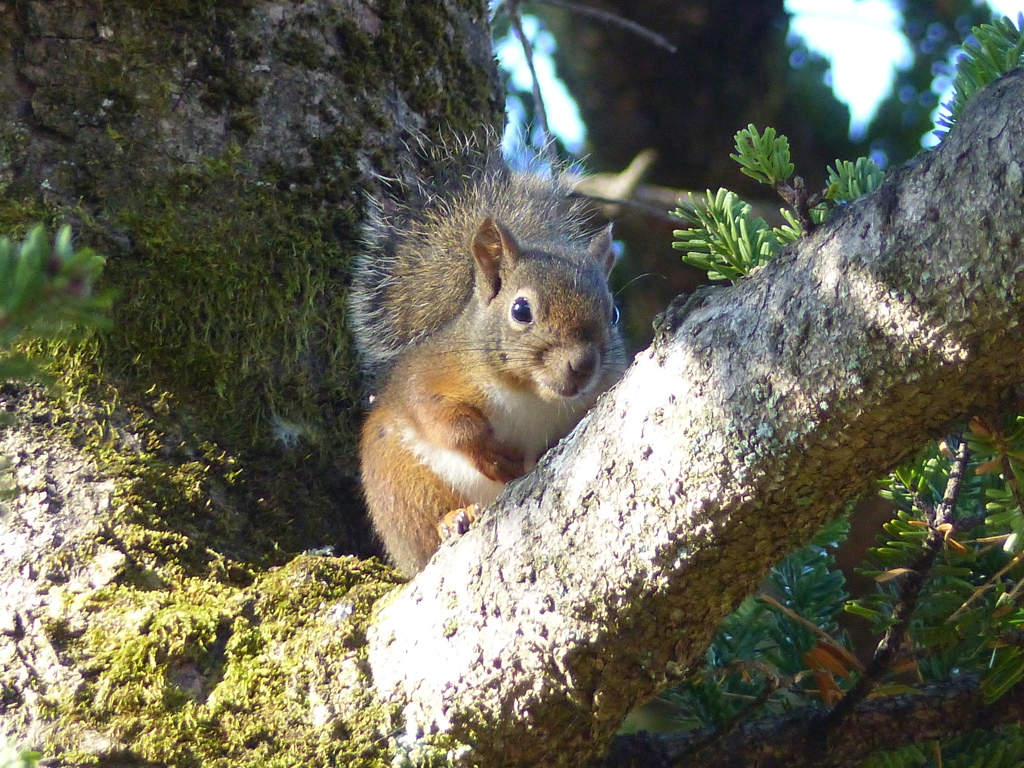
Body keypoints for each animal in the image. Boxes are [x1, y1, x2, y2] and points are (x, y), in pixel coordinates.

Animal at [350, 144, 622, 577]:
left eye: (613, 314)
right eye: (521, 310)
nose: (582, 366)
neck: (530, 395)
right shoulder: (432, 376)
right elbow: (441, 418)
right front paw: (494, 455)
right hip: (403, 484)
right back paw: (453, 520)